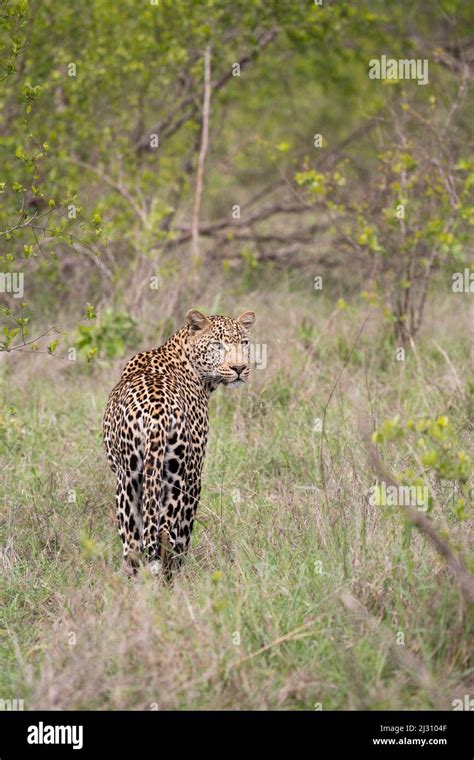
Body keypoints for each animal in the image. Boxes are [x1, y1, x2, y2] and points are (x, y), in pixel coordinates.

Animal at [103, 308, 256, 576]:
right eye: (217, 345)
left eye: (244, 343)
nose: (239, 367)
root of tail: (156, 415)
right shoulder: (194, 476)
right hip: (176, 479)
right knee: (166, 535)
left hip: (129, 479)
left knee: (133, 545)